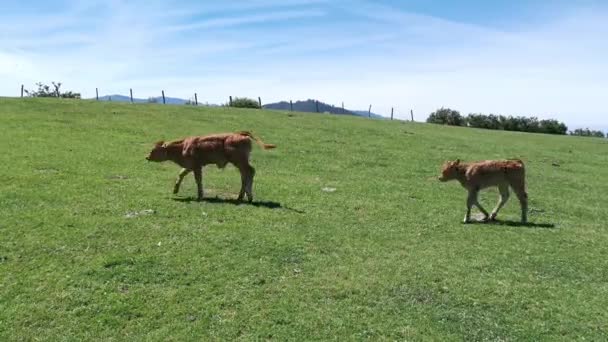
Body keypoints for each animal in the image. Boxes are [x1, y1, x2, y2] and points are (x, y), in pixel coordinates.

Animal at [147, 130, 276, 200]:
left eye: (153, 150)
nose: (147, 157)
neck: (183, 146)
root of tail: (240, 134)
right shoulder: (190, 166)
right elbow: (181, 174)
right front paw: (175, 189)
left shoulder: (197, 167)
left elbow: (198, 180)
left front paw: (200, 195)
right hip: (240, 163)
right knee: (245, 175)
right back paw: (243, 196)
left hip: (240, 161)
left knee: (249, 172)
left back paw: (247, 196)